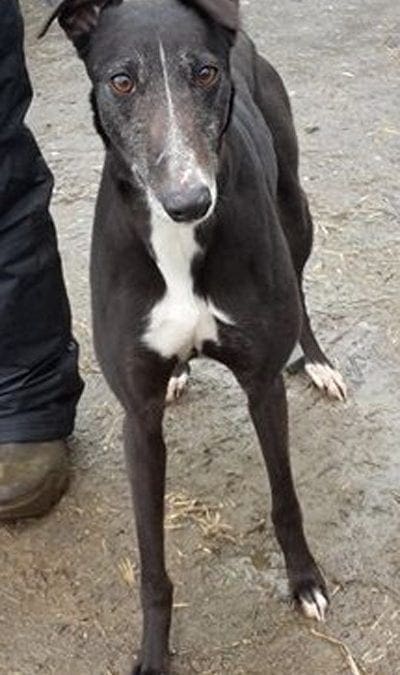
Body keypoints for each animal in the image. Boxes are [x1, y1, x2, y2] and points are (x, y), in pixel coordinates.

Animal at [42, 2, 346, 672]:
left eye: (205, 72)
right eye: (121, 81)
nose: (188, 201)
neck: (178, 244)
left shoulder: (262, 385)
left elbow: (285, 500)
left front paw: (304, 580)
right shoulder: (138, 418)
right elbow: (151, 561)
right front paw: (154, 652)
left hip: (296, 213)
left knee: (302, 287)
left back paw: (316, 362)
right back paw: (182, 373)